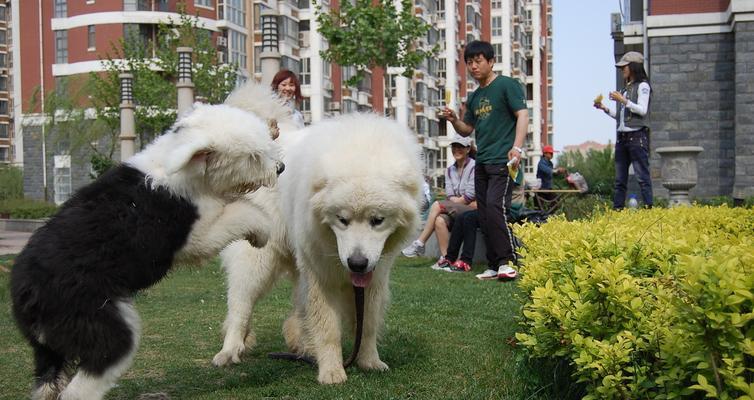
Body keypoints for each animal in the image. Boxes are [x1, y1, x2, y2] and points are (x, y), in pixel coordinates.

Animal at [8, 103, 284, 400]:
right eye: (253, 157)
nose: (280, 168)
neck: (182, 169)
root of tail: (26, 292)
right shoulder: (197, 235)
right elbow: (242, 213)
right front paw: (262, 232)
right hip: (100, 325)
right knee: (81, 387)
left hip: (49, 347)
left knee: (47, 382)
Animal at [212, 112, 424, 384]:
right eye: (342, 219)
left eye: (377, 220)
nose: (357, 263)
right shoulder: (322, 276)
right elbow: (328, 327)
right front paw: (332, 371)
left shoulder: (374, 277)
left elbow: (367, 325)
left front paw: (369, 361)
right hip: (257, 262)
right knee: (240, 305)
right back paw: (229, 351)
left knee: (298, 311)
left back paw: (302, 346)